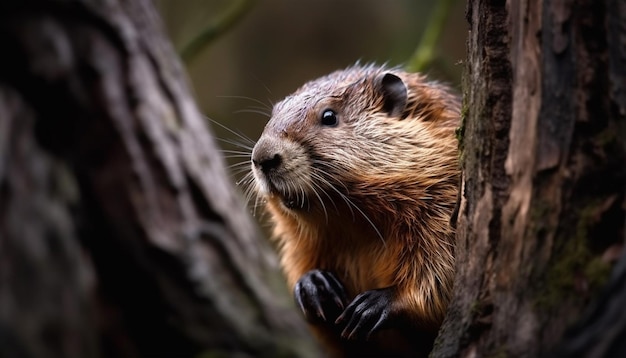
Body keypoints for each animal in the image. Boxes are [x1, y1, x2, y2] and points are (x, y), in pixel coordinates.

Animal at [249, 65, 458, 358]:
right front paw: (314, 286)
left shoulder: (443, 199)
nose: (263, 158)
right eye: (274, 113)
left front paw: (369, 307)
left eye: (329, 116)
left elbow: (441, 270)